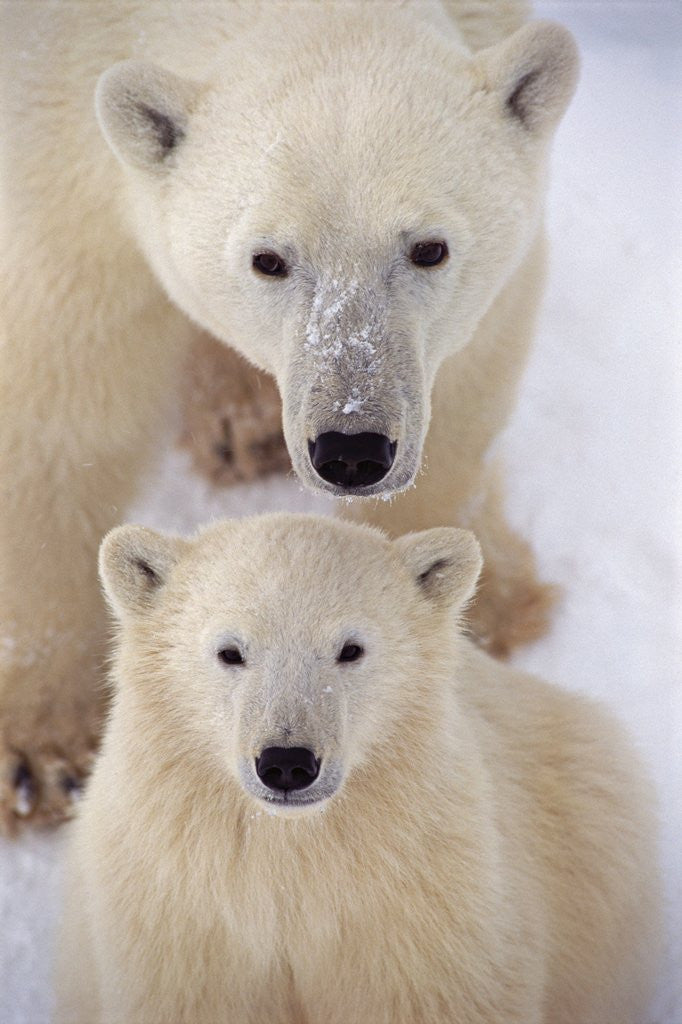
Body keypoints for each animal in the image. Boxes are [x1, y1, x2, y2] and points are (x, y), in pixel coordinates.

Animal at [0, 1, 578, 830]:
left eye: (429, 248)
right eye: (267, 259)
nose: (352, 448)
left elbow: (472, 364)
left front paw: (480, 610)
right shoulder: (51, 152)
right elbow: (57, 410)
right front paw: (42, 757)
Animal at [55, 514, 661, 1024]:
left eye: (350, 649)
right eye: (230, 651)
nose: (287, 763)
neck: (296, 858)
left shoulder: (424, 902)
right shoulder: (184, 912)